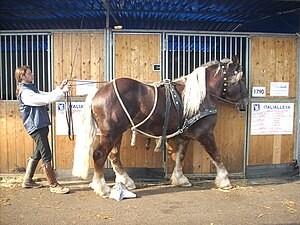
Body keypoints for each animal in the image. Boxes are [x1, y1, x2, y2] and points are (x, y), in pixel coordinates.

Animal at [71, 56, 247, 197]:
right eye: (240, 79)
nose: (244, 104)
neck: (200, 96)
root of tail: (97, 93)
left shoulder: (185, 135)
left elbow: (180, 156)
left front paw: (179, 179)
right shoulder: (205, 133)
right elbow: (216, 155)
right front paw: (224, 180)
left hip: (117, 133)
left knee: (114, 156)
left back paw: (126, 181)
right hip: (110, 133)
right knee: (99, 155)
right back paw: (102, 188)